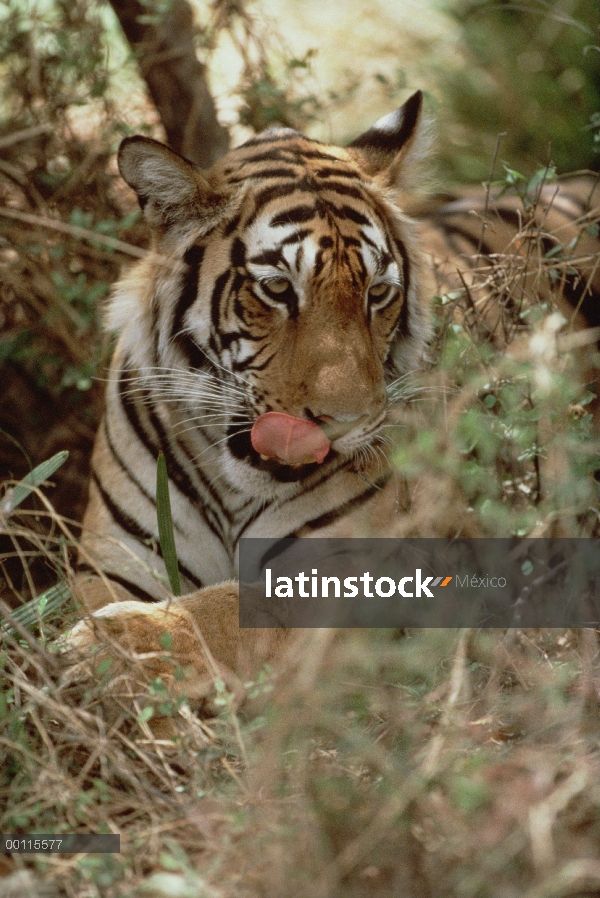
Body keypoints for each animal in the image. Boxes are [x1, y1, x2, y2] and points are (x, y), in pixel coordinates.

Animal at [71, 89, 600, 692]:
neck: (232, 487)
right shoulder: (114, 563)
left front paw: (108, 644)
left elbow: (221, 610)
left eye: (378, 293)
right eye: (278, 288)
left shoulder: (345, 577)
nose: (346, 423)